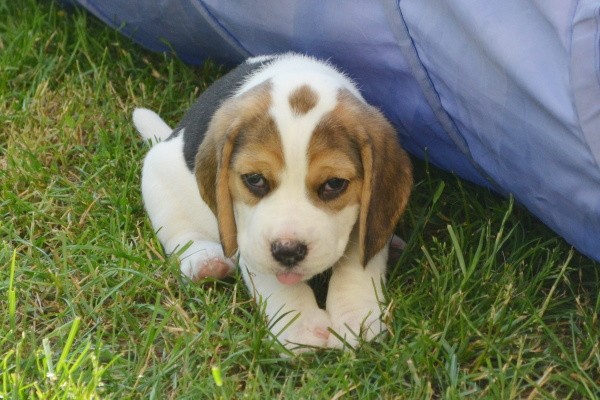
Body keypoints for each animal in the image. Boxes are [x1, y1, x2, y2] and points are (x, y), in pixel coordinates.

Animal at [133, 53, 412, 352]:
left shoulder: (367, 221)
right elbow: (274, 279)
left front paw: (355, 318)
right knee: (181, 234)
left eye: (334, 184)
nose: (288, 251)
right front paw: (301, 329)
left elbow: (356, 263)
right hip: (157, 180)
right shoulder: (248, 237)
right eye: (254, 179)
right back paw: (204, 262)